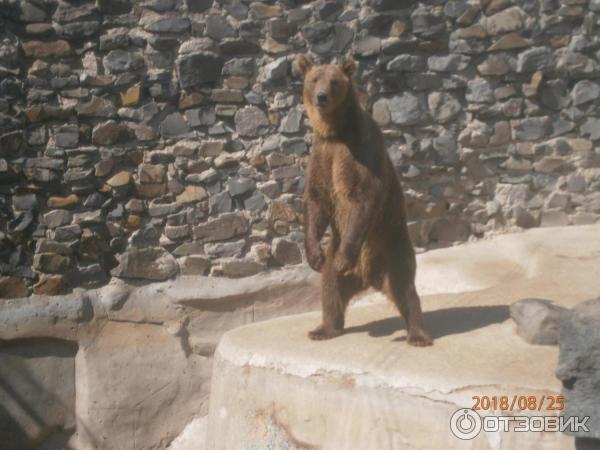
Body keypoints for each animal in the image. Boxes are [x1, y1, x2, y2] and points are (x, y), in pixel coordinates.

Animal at [294, 54, 432, 346]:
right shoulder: (323, 157)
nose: (321, 96)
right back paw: (323, 329)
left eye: (334, 81)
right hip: (337, 250)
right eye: (314, 79)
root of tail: (369, 278)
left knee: (405, 289)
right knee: (330, 288)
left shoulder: (362, 152)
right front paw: (313, 255)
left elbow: (365, 197)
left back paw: (417, 334)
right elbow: (315, 201)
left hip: (392, 245)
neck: (335, 131)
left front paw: (343, 258)